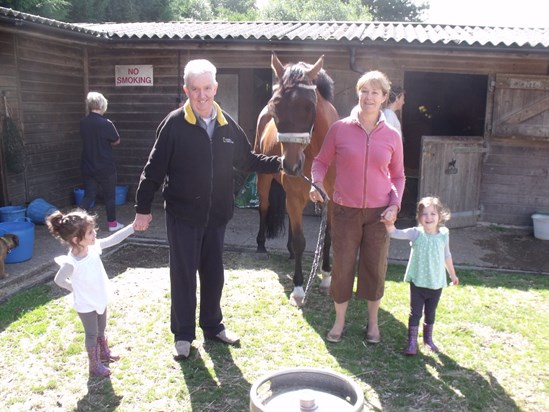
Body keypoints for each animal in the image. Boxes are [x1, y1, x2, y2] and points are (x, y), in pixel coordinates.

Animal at [254, 53, 338, 304]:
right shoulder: (294, 196)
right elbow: (302, 241)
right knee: (264, 207)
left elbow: (328, 236)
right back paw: (261, 247)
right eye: (275, 104)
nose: (290, 165)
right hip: (264, 179)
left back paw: (290, 252)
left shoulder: (332, 200)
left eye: (309, 106)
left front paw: (327, 277)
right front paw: (299, 289)